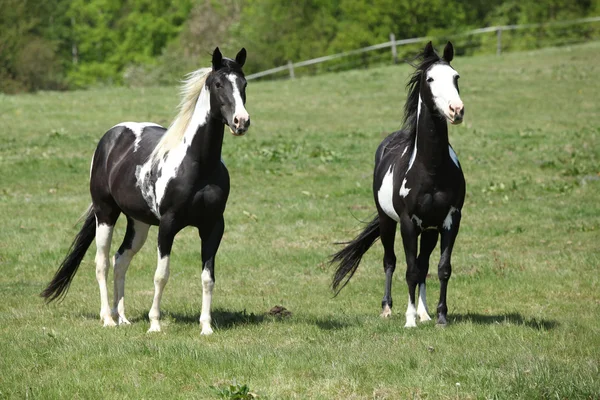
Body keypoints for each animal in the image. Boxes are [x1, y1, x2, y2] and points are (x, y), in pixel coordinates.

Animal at [41, 47, 250, 334]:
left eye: (244, 84)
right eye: (218, 84)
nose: (241, 122)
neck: (198, 165)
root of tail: (112, 137)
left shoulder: (213, 226)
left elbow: (208, 278)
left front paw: (206, 327)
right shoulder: (168, 225)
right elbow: (161, 275)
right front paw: (155, 325)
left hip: (138, 223)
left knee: (120, 260)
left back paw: (122, 317)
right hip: (105, 214)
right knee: (102, 263)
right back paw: (108, 319)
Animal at [330, 42, 466, 326]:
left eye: (456, 77)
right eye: (430, 79)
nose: (456, 110)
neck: (430, 169)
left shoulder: (450, 220)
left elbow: (442, 269)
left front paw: (439, 317)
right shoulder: (407, 222)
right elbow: (409, 270)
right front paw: (409, 319)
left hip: (430, 230)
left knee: (424, 265)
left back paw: (425, 313)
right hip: (387, 222)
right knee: (390, 261)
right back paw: (388, 308)